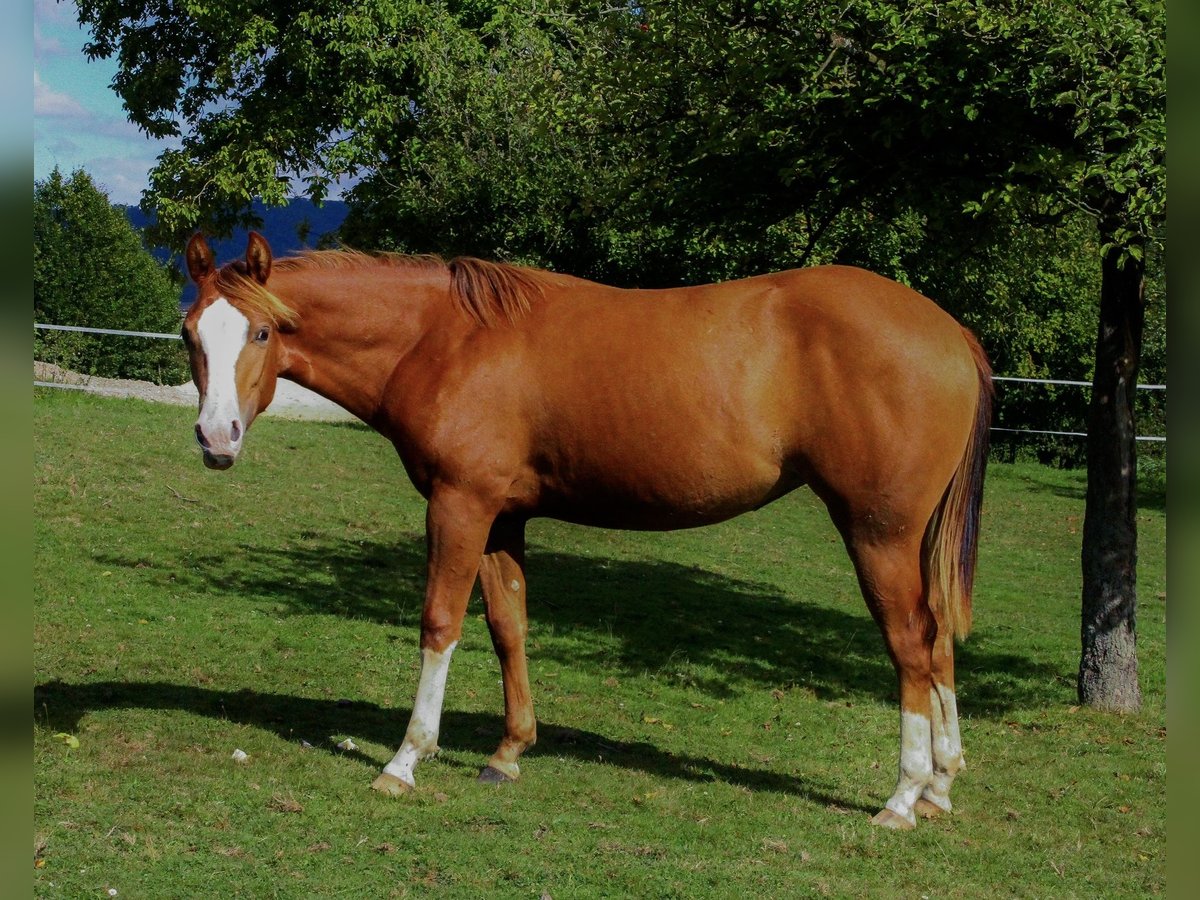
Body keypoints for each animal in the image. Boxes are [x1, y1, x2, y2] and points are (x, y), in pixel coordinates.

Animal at [182, 232, 988, 830]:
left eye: (260, 331)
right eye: (192, 334)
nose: (216, 440)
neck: (445, 339)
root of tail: (950, 332)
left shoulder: (459, 505)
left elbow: (441, 623)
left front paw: (405, 761)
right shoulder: (502, 516)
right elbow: (508, 624)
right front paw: (509, 751)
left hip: (878, 533)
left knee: (911, 645)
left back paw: (902, 796)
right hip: (910, 540)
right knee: (938, 639)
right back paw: (941, 785)